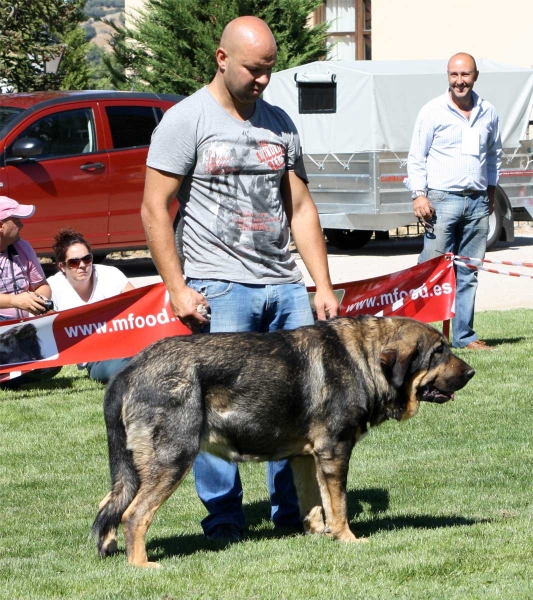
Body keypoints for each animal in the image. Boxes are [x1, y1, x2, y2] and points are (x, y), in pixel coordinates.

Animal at [91, 316, 474, 564]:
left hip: (134, 467)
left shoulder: (306, 457)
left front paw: (318, 535)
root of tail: (128, 371)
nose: (471, 372)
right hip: (173, 458)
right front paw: (347, 539)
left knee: (109, 505)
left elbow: (315, 504)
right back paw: (141, 565)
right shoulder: (334, 451)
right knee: (134, 514)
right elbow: (339, 505)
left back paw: (109, 550)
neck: (364, 360)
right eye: (438, 351)